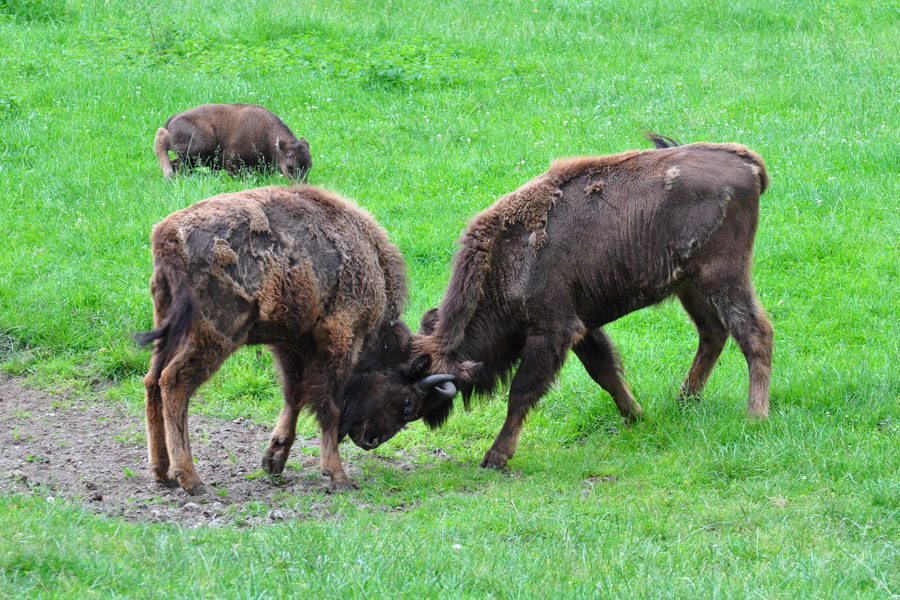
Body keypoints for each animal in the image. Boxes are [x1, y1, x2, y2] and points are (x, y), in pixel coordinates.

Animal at [135, 185, 458, 494]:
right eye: (407, 402)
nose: (370, 440)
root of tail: (167, 235)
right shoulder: (341, 338)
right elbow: (329, 406)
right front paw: (337, 476)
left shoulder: (291, 343)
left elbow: (294, 396)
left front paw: (274, 460)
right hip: (215, 335)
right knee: (174, 383)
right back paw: (191, 479)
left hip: (168, 326)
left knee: (152, 381)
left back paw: (162, 473)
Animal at [153, 103, 312, 180]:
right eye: (290, 166)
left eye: (309, 167)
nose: (300, 184)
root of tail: (174, 117)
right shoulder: (232, 159)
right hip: (200, 144)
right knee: (161, 137)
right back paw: (168, 175)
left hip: (193, 157)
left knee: (178, 163)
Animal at [352, 134, 772, 472]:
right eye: (369, 375)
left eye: (408, 399)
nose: (362, 435)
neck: (509, 257)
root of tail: (746, 161)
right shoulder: (582, 327)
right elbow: (605, 373)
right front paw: (637, 418)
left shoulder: (552, 330)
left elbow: (522, 391)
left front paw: (495, 457)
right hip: (690, 285)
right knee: (713, 334)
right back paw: (684, 402)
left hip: (723, 277)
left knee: (755, 334)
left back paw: (754, 417)